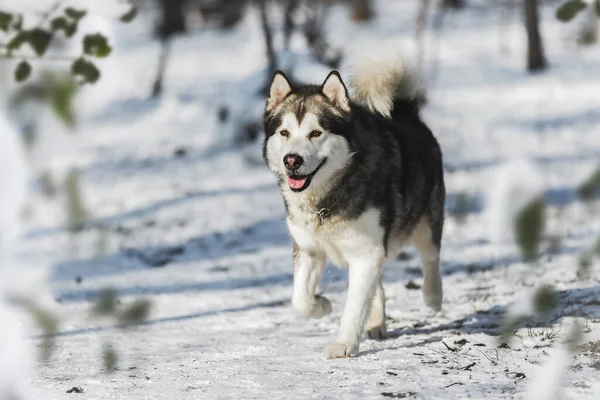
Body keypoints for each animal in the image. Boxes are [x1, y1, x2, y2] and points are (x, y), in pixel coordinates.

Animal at [262, 49, 446, 360]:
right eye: (285, 133)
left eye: (316, 133)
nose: (292, 161)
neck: (326, 200)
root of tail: (405, 111)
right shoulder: (309, 248)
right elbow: (299, 300)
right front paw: (322, 304)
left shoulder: (367, 252)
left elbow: (354, 305)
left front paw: (345, 344)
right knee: (379, 286)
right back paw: (376, 321)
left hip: (425, 224)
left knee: (430, 256)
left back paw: (433, 297)